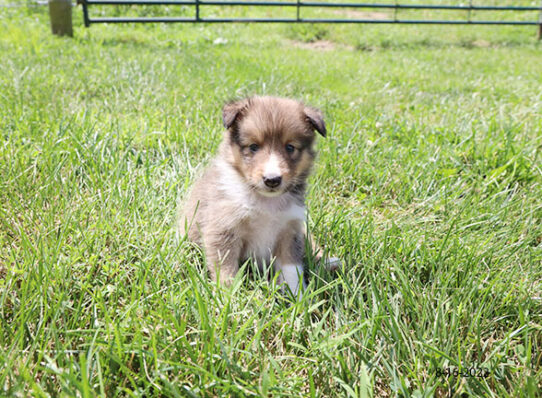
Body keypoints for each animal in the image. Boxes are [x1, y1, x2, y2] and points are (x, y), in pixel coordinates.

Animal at [180, 96, 340, 298]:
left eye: (290, 147)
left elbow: (292, 268)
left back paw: (328, 263)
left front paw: (298, 295)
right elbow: (225, 268)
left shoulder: (290, 229)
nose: (272, 180)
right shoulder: (224, 227)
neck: (266, 202)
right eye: (253, 147)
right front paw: (228, 296)